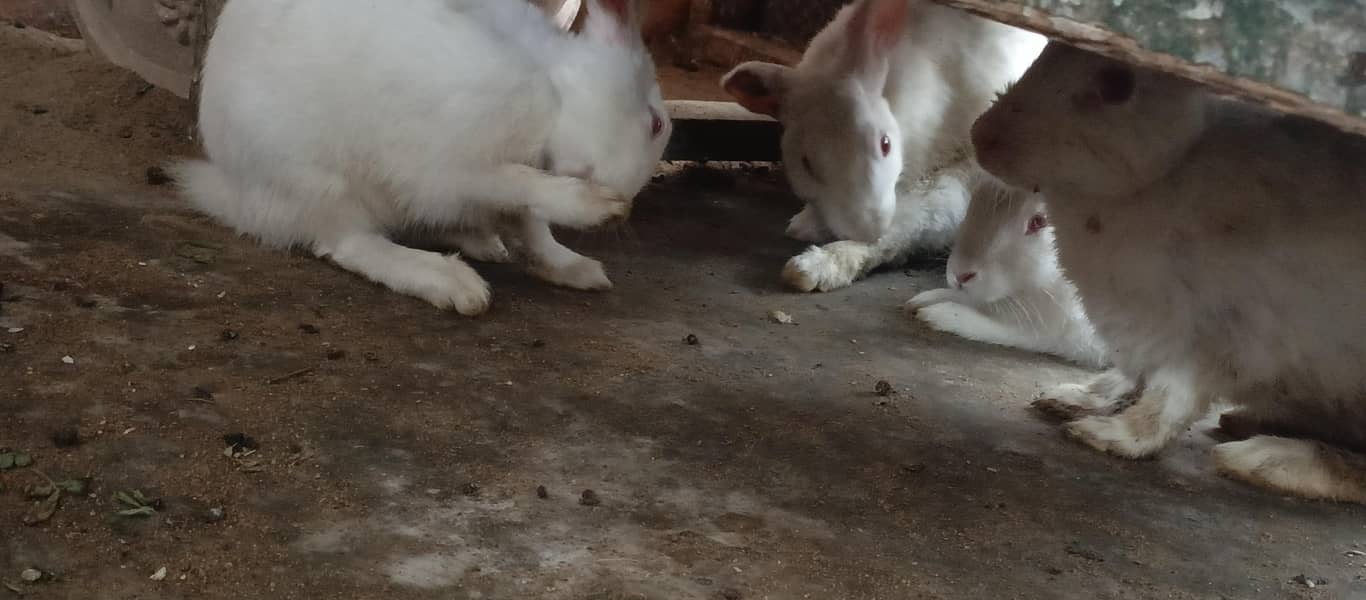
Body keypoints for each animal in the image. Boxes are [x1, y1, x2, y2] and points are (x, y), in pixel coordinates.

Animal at [172, 0, 671, 315]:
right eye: (656, 123)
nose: (628, 201)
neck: (552, 92)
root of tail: (238, 193)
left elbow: (533, 228)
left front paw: (576, 268)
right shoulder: (452, 167)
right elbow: (524, 187)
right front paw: (597, 207)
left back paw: (480, 242)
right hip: (321, 183)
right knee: (350, 245)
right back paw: (448, 279)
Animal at [720, 0, 1045, 292]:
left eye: (885, 144)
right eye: (806, 163)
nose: (867, 227)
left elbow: (918, 218)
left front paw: (814, 260)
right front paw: (806, 224)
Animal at [905, 172, 1109, 369]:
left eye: (1039, 221)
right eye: (978, 193)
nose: (960, 275)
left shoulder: (1065, 331)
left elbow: (1000, 329)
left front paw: (937, 314)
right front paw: (923, 299)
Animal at [971, 41, 1366, 503]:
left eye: (1117, 83)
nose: (982, 136)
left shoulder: (1212, 339)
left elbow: (1166, 402)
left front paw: (1107, 434)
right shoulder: (1142, 336)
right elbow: (1128, 380)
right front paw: (1073, 398)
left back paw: (1261, 459)